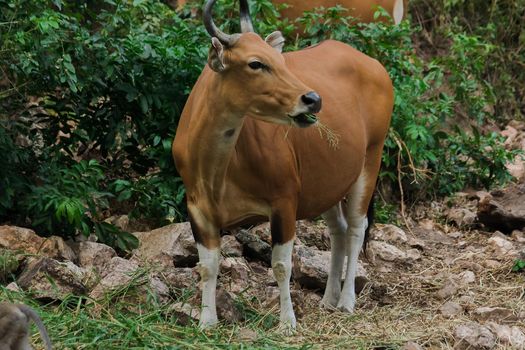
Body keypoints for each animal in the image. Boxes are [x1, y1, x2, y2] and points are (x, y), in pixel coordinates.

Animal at [172, 0, 392, 330]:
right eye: (255, 63)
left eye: (280, 59)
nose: (312, 99)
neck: (217, 171)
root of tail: (375, 66)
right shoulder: (198, 210)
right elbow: (207, 266)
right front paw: (207, 322)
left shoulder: (284, 202)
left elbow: (281, 265)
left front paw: (287, 321)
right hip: (327, 181)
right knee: (338, 230)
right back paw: (329, 298)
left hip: (370, 160)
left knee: (356, 228)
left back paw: (346, 301)